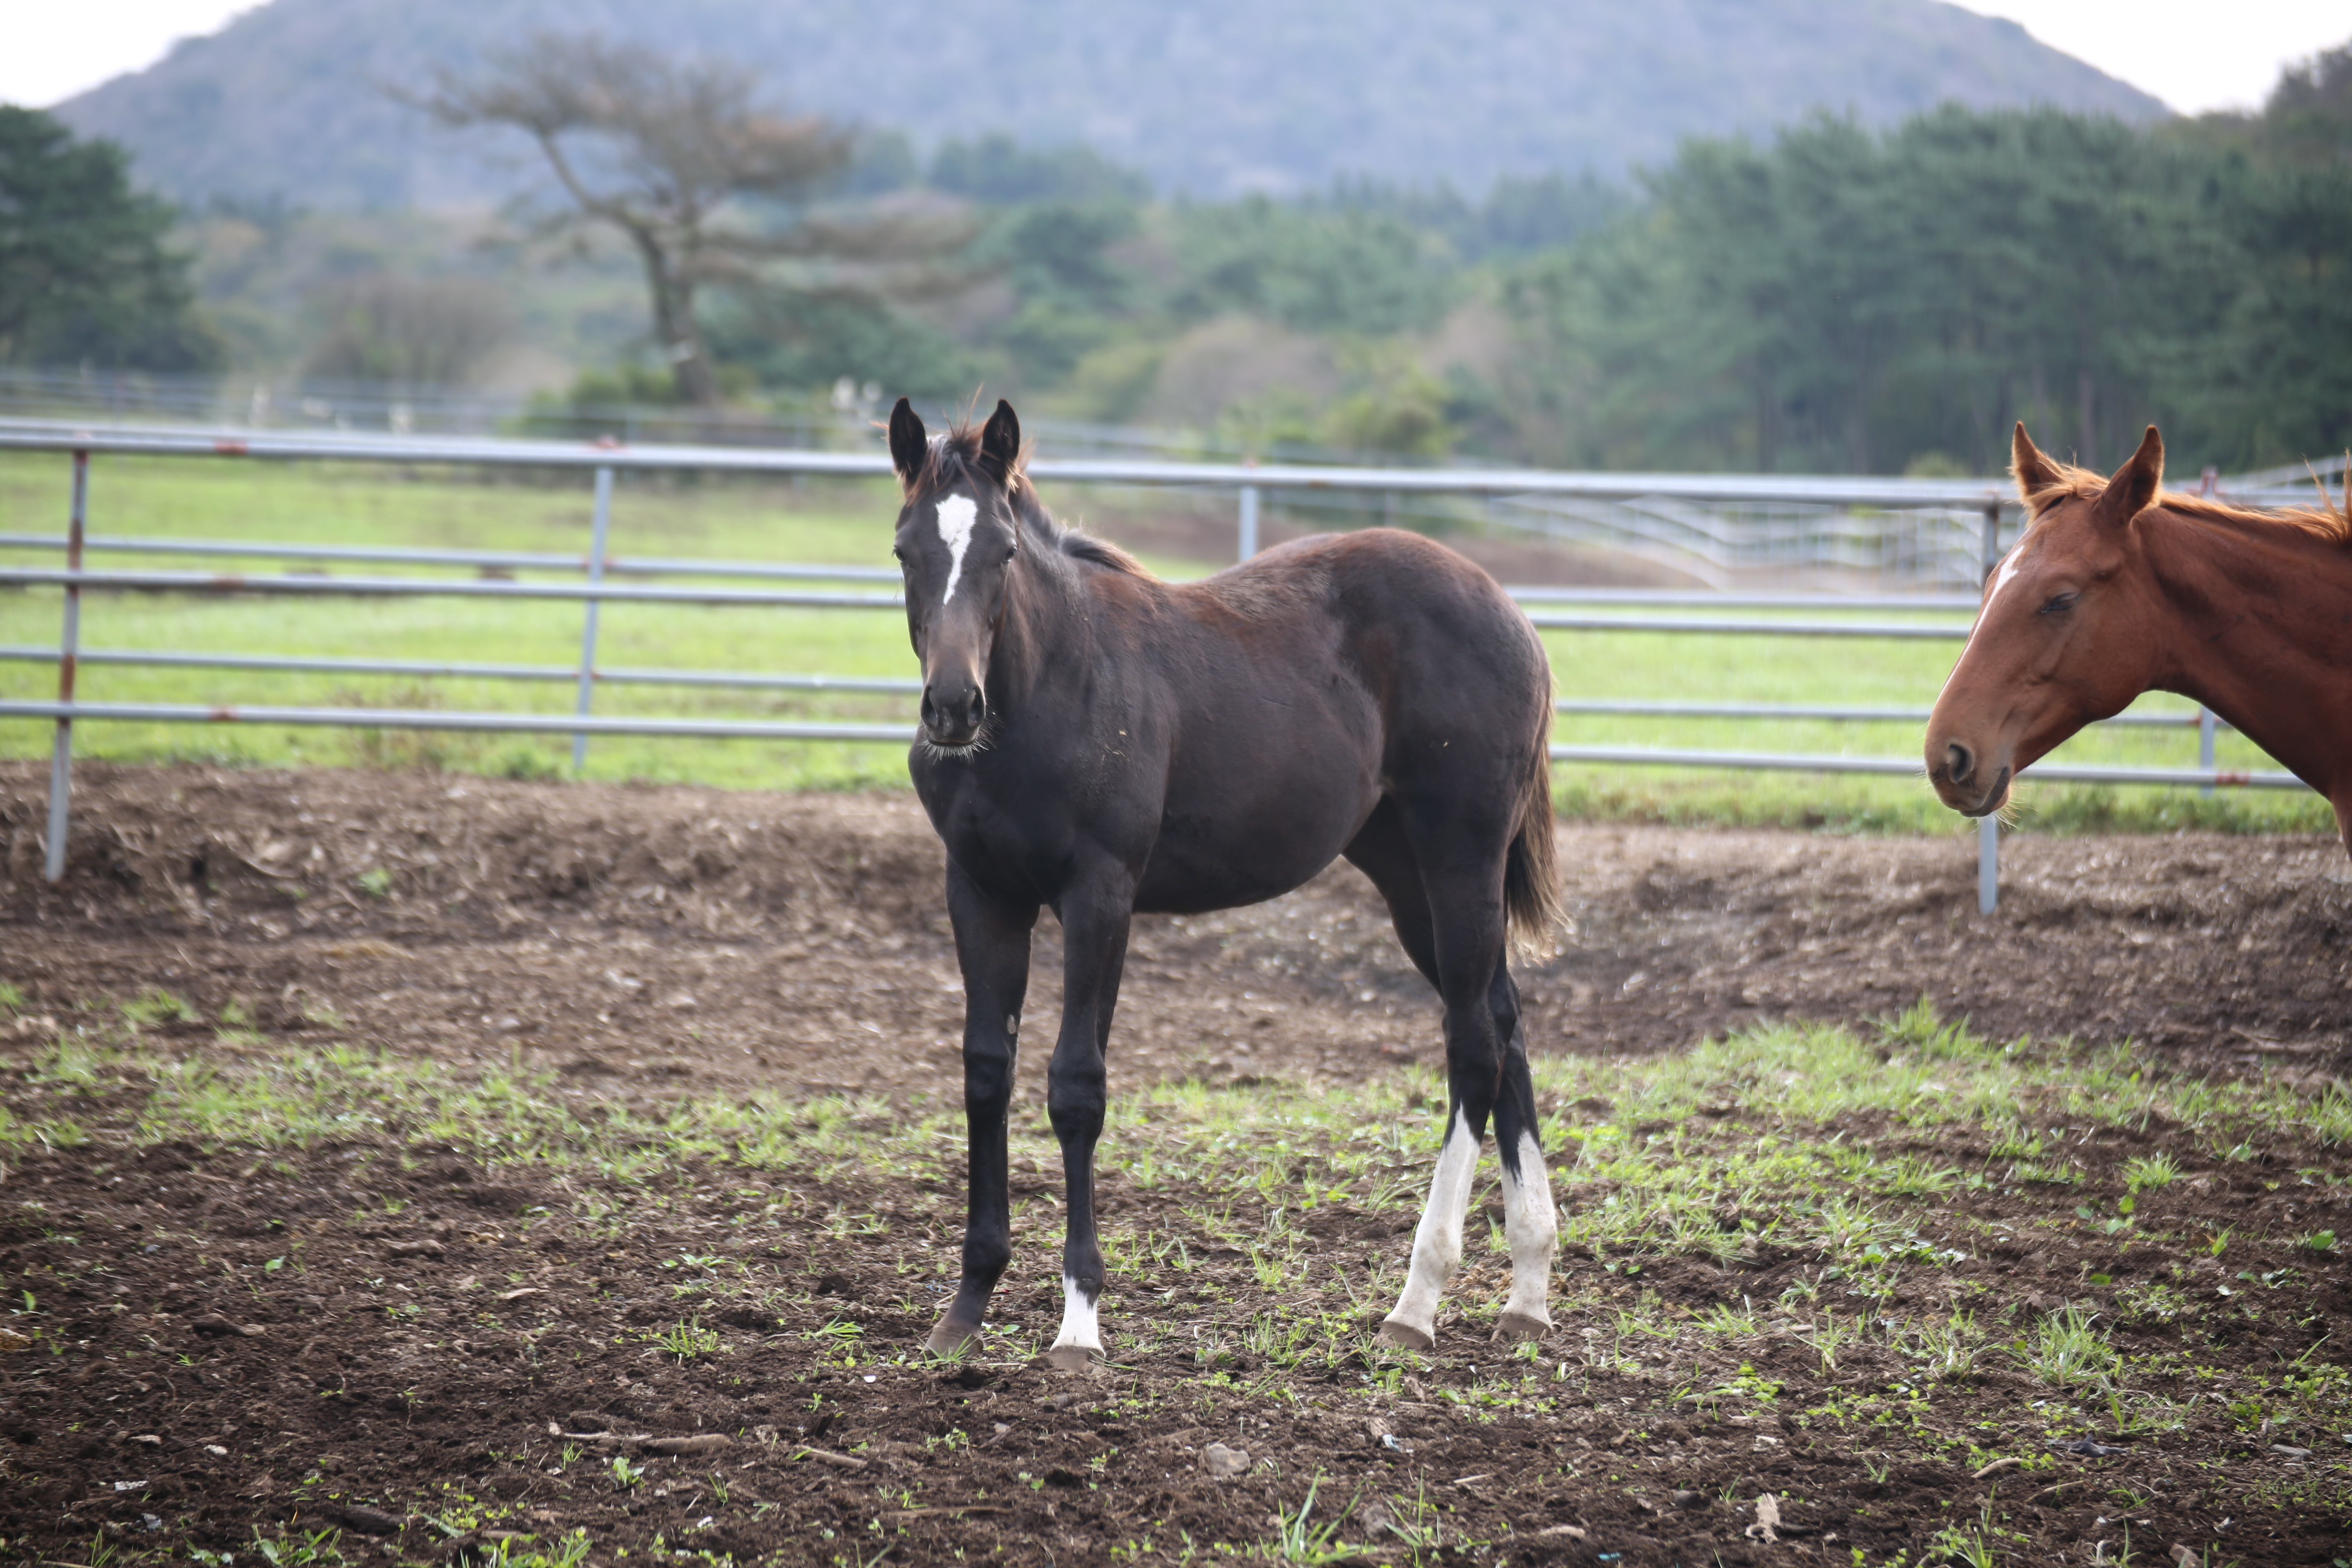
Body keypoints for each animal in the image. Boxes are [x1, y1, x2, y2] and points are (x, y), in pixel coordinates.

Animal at [884, 399, 1561, 1363]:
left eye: (1003, 553)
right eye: (907, 550)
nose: (951, 708)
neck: (1052, 690)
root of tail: (1512, 613)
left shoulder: (1101, 895)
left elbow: (1075, 1086)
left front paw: (1080, 1322)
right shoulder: (980, 891)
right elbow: (986, 1073)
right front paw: (966, 1306)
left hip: (1458, 857)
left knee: (1473, 1044)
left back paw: (1417, 1301)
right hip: (1404, 873)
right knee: (1505, 1022)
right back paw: (1528, 1289)